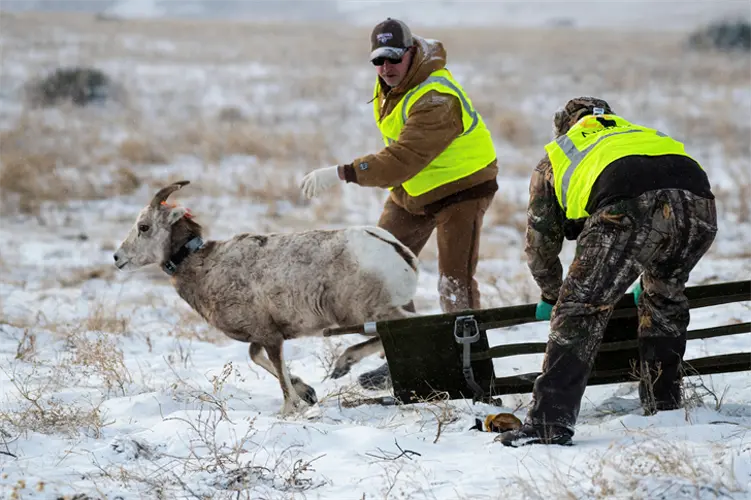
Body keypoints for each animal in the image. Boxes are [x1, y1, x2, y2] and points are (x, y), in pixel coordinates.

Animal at [113, 180, 418, 414]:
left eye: (144, 227)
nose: (117, 258)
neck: (205, 267)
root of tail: (395, 250)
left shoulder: (271, 336)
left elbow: (279, 375)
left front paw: (289, 410)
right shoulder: (265, 334)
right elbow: (260, 359)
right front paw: (307, 393)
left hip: (364, 311)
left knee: (401, 325)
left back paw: (345, 363)